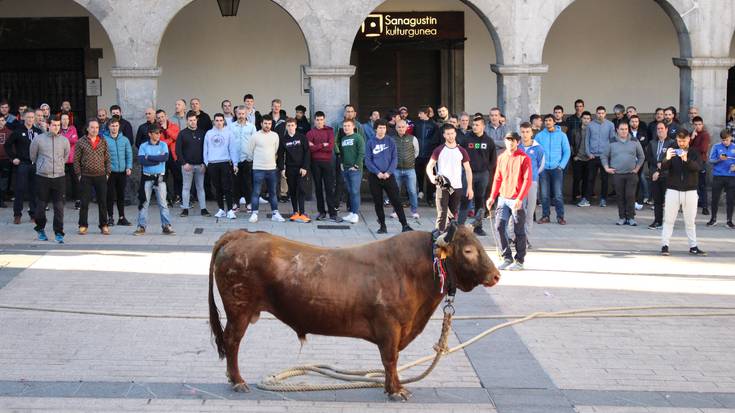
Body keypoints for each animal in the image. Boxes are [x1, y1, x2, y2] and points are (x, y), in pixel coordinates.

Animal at [210, 224, 504, 400]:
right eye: (468, 250)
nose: (496, 275)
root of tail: (241, 234)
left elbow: (391, 361)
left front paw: (392, 386)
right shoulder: (390, 327)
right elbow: (390, 359)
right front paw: (395, 390)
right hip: (239, 310)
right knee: (232, 341)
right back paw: (237, 380)